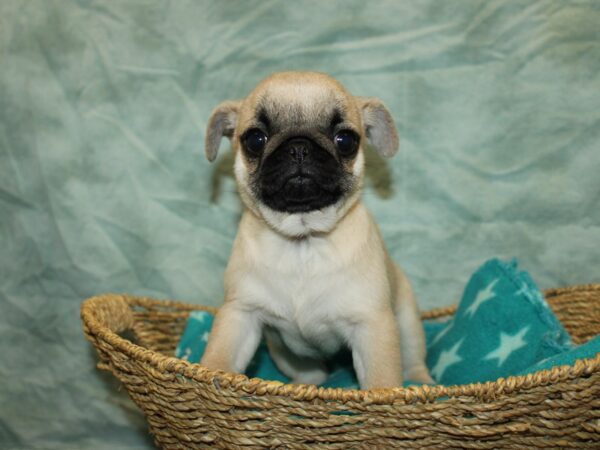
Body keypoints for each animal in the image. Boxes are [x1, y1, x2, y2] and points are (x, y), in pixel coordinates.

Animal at [200, 72, 432, 388]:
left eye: (346, 140)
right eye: (255, 140)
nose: (299, 147)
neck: (303, 240)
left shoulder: (372, 325)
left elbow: (381, 382)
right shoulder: (240, 313)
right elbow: (220, 355)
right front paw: (205, 378)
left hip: (407, 320)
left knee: (412, 357)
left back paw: (424, 382)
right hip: (283, 353)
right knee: (309, 370)